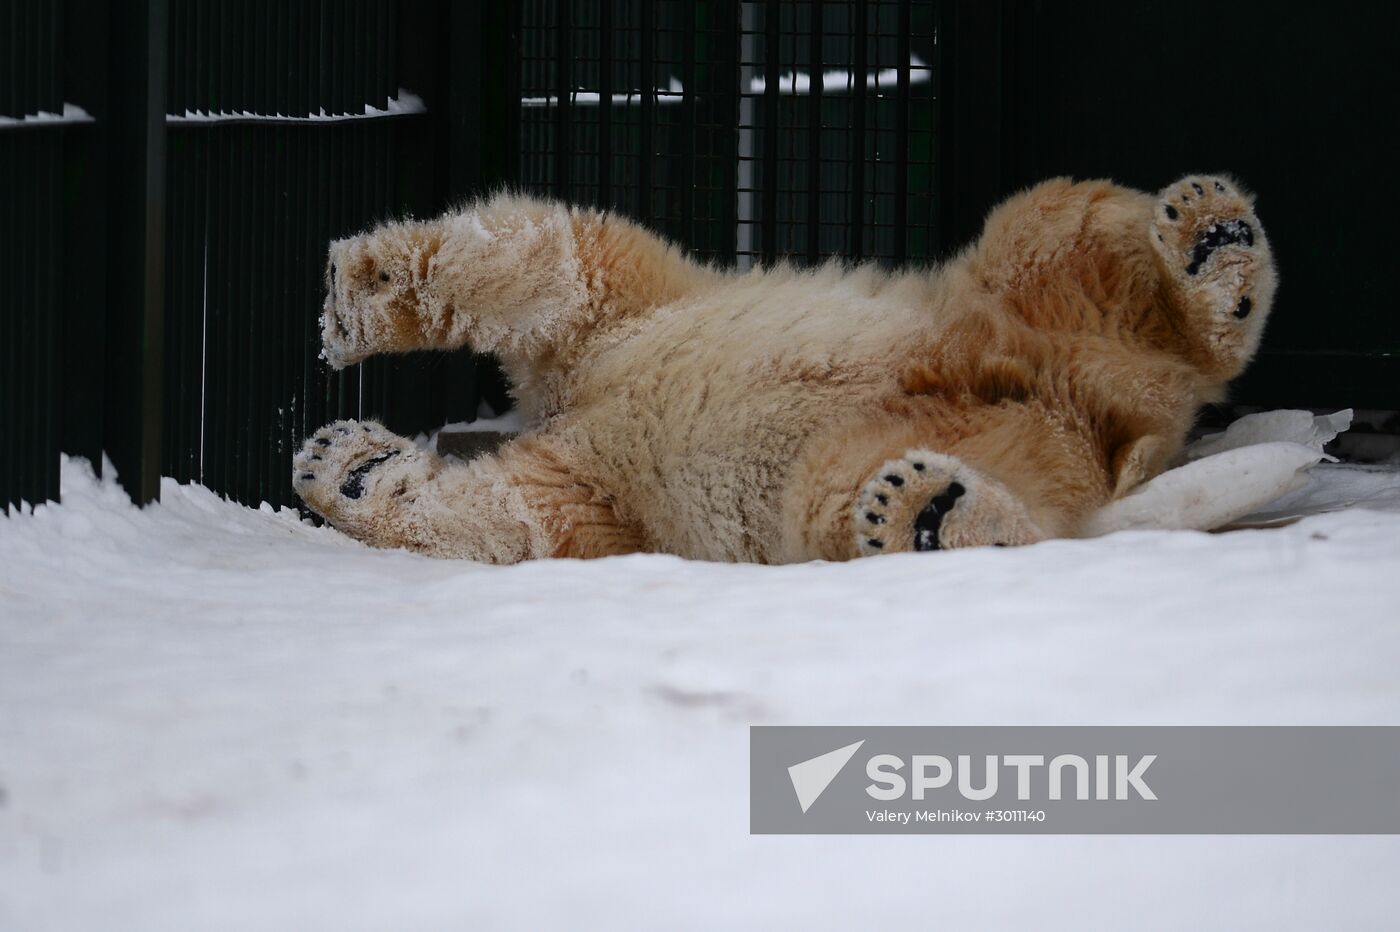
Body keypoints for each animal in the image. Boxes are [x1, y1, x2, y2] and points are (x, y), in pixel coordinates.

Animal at [295, 177, 1282, 562]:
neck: (570, 399)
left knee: (1059, 229)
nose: (330, 447)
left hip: (1010, 304)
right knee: (840, 485)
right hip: (1008, 424)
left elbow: (551, 263)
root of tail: (1123, 422)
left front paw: (353, 298)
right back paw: (929, 511)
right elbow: (512, 521)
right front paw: (346, 464)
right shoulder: (596, 487)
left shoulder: (628, 317)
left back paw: (1210, 245)